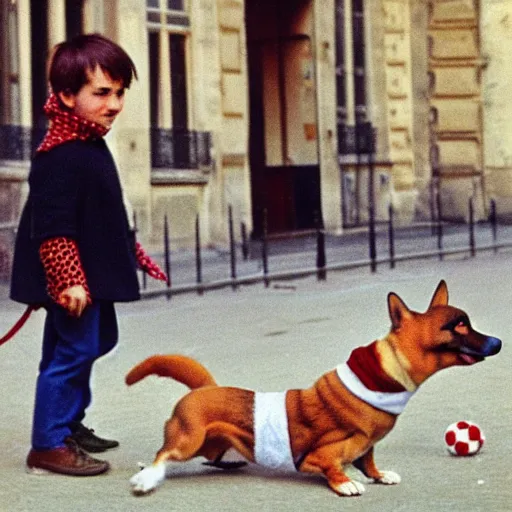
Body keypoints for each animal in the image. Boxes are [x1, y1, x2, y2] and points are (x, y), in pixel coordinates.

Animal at [126, 280, 502, 496]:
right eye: (459, 325)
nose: (498, 342)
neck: (382, 377)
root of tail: (204, 388)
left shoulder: (367, 447)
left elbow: (368, 462)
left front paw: (376, 475)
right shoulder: (321, 455)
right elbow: (334, 468)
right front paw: (346, 482)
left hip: (212, 444)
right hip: (190, 440)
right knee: (165, 454)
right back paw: (148, 478)